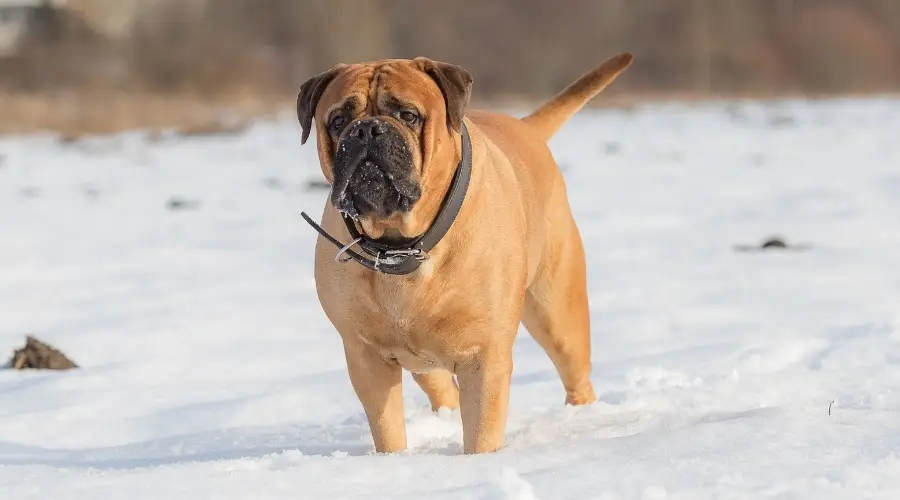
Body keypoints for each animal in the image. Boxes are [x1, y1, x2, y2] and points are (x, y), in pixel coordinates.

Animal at [296, 50, 632, 454]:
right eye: (339, 120)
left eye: (408, 114)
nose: (366, 130)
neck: (404, 245)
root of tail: (526, 128)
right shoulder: (366, 357)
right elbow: (388, 428)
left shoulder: (484, 357)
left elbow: (482, 431)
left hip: (557, 310)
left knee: (575, 372)